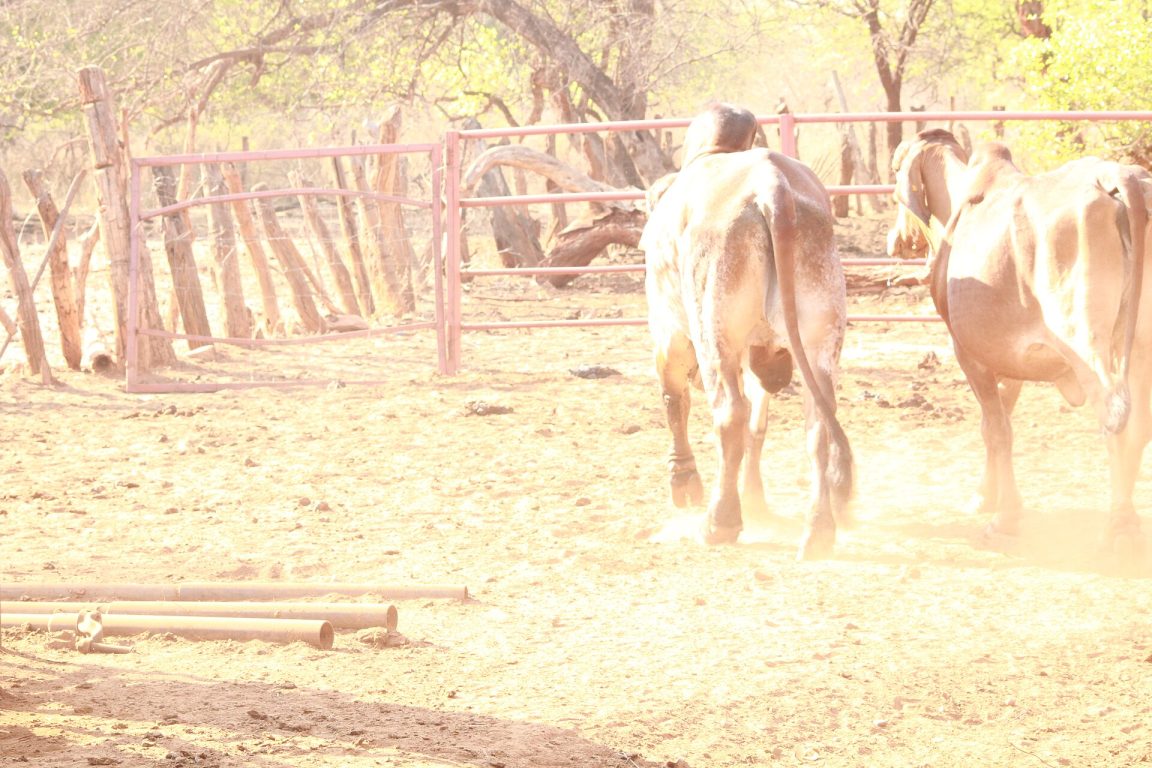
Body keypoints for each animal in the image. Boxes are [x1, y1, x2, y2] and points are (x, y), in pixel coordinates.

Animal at [640, 103, 854, 561]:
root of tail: (772, 188)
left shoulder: (669, 333)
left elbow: (674, 399)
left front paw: (684, 482)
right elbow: (760, 424)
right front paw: (755, 499)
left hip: (713, 332)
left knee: (730, 414)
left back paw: (719, 522)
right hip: (819, 338)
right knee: (817, 423)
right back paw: (818, 531)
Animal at [889, 128, 1152, 558]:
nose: (896, 240)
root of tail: (1121, 178)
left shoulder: (968, 350)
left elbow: (997, 429)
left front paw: (1005, 516)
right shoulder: (1010, 351)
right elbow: (997, 420)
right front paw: (987, 495)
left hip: (1088, 345)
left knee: (1115, 417)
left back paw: (1121, 527)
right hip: (1142, 348)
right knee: (1139, 423)